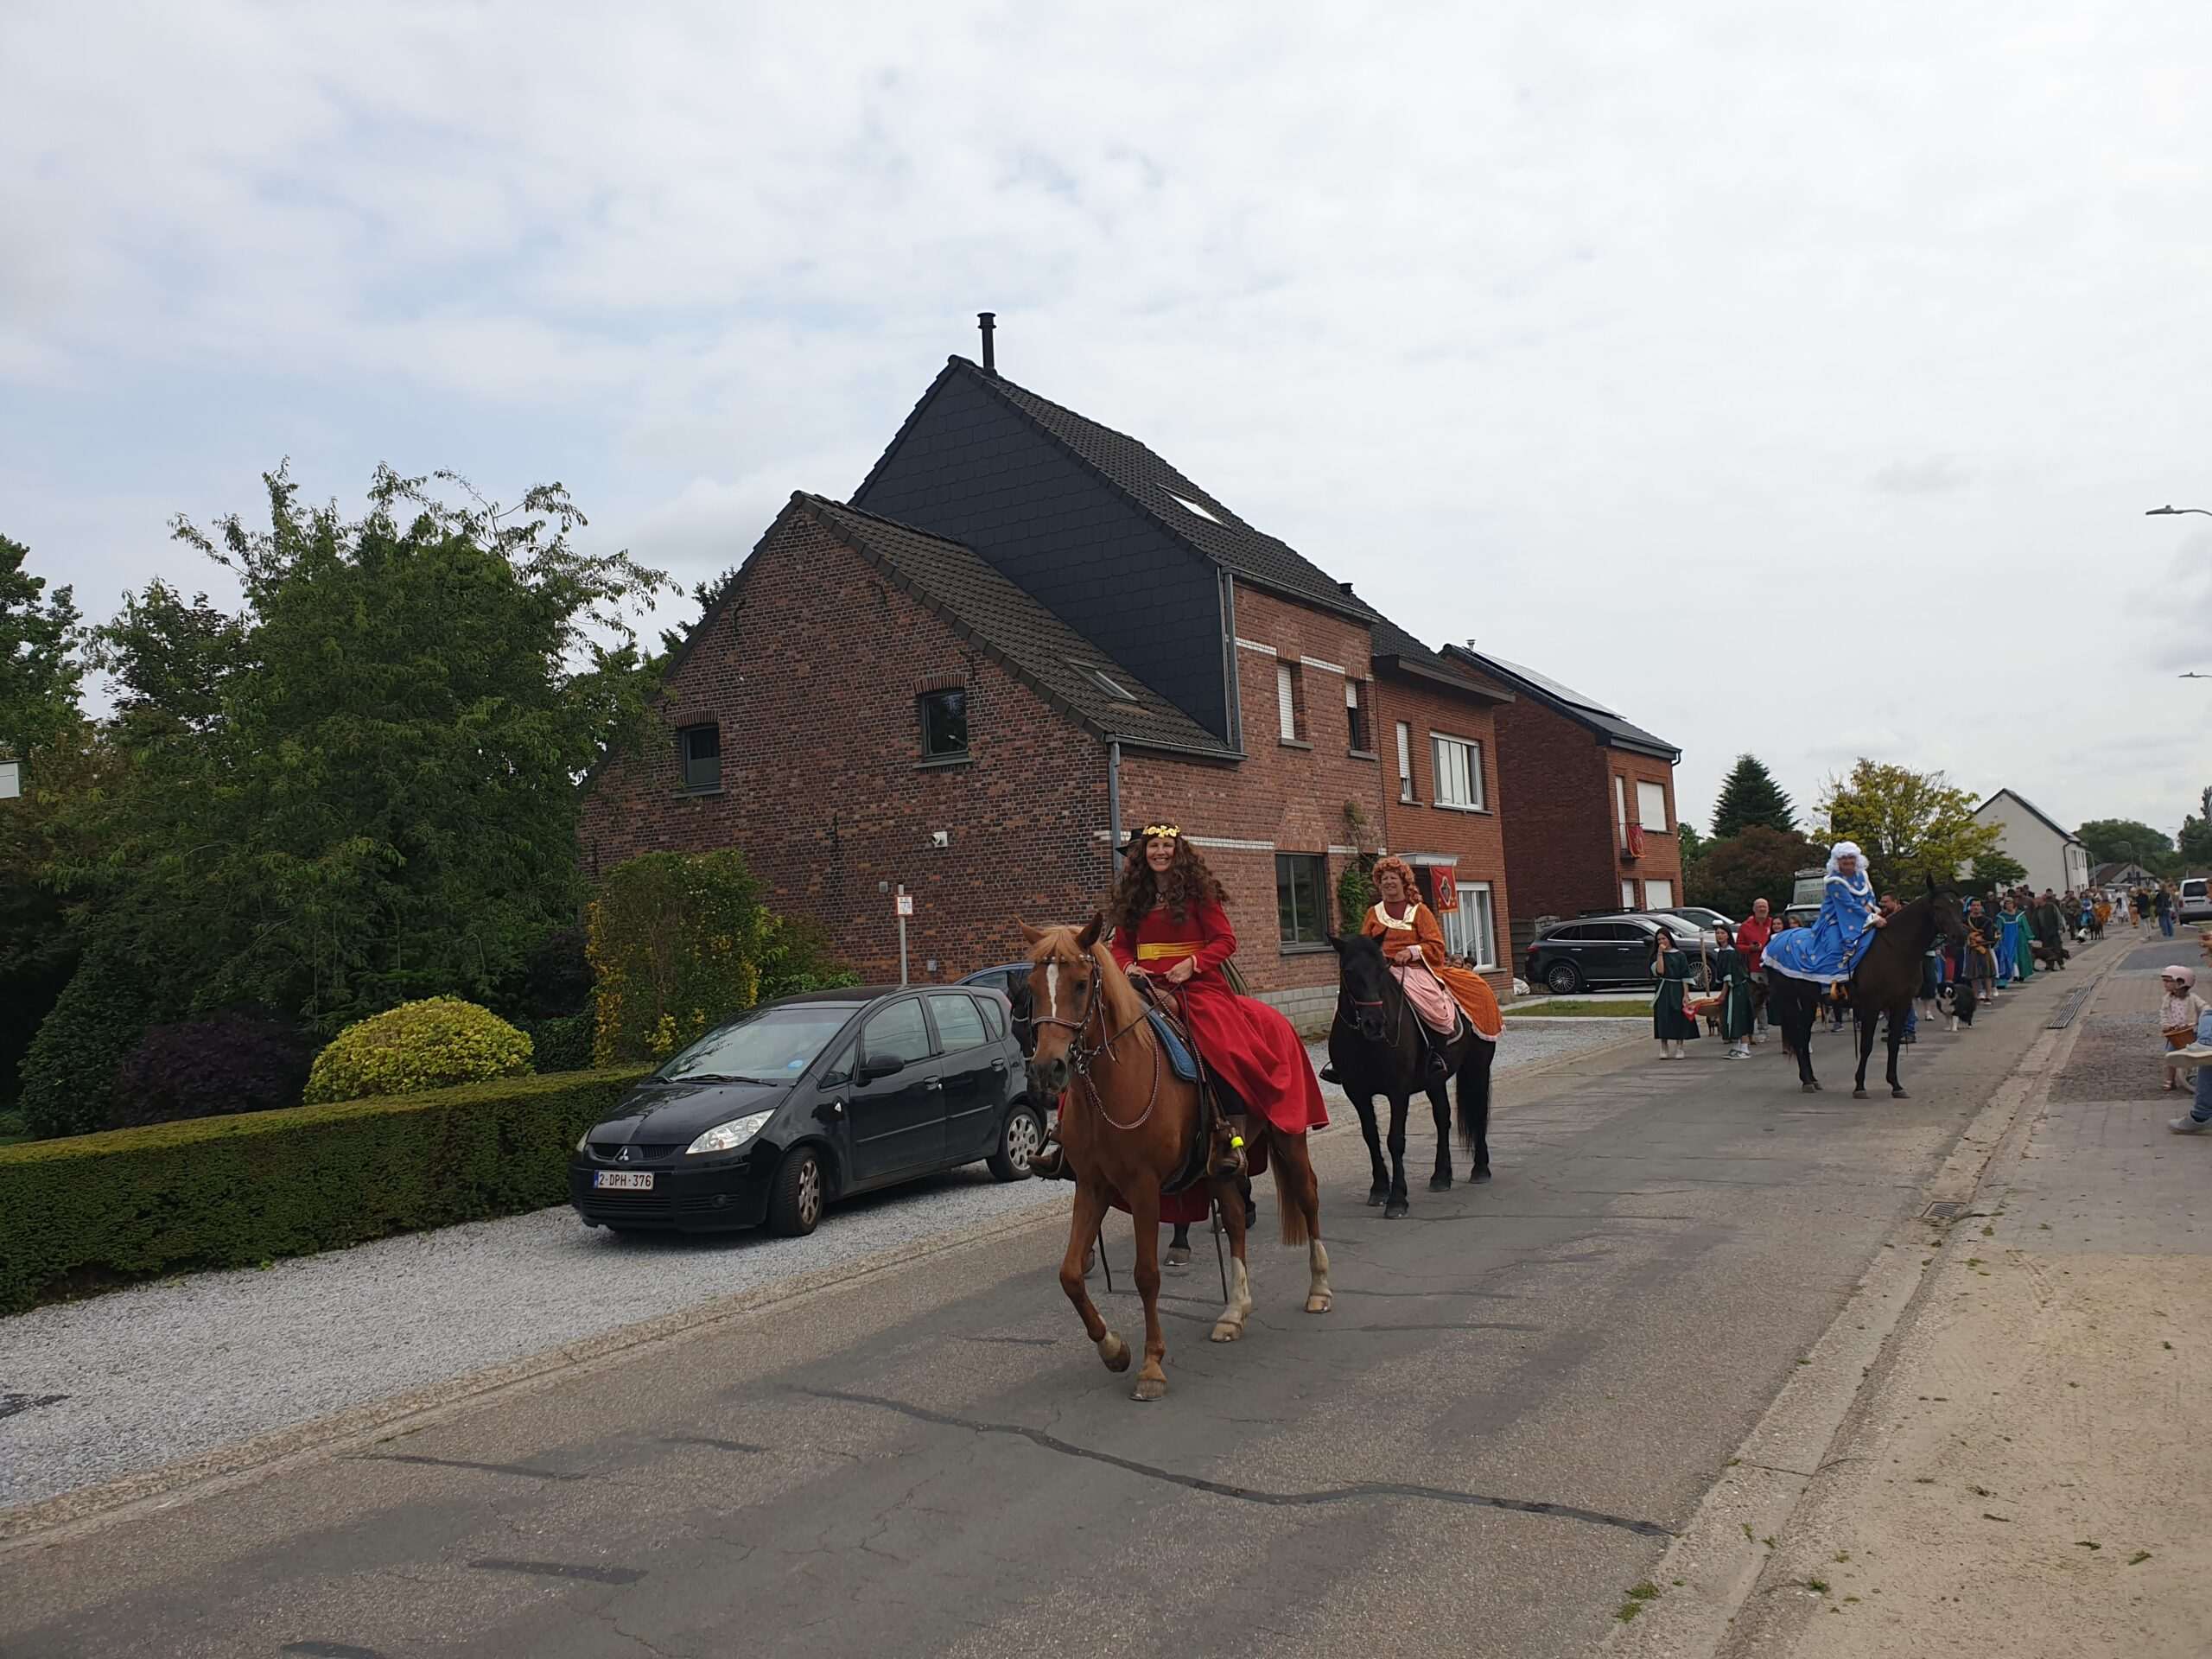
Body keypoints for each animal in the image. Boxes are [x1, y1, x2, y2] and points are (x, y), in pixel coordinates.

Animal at [1019, 918, 1331, 1402]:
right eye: (1032, 988)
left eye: (1081, 983)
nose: (1045, 1069)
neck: (1116, 1080)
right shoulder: (1092, 1185)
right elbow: (1070, 1273)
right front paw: (1114, 1350)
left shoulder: (1144, 1187)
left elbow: (1146, 1275)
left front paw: (1151, 1366)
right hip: (1218, 1169)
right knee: (1236, 1218)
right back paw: (1234, 1311)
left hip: (1290, 1138)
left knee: (1308, 1197)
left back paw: (1319, 1289)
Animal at [1325, 931, 1492, 1218]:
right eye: (1348, 972)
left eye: (1382, 969)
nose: (1374, 1023)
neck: (1366, 1043)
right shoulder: (1357, 1093)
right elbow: (1371, 1137)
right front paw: (1379, 1189)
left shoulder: (1398, 1091)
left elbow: (1395, 1140)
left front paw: (1397, 1199)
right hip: (1435, 1080)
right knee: (1443, 1119)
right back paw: (1441, 1176)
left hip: (1478, 1066)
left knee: (1478, 1112)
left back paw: (1480, 1169)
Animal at [1765, 882, 1969, 1098]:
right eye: (1938, 907)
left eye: (1959, 905)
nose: (1961, 936)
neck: (1896, 949)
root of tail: (1776, 939)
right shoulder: (1872, 1005)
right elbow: (1866, 1045)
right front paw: (1860, 1086)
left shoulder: (1901, 1003)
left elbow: (1894, 1043)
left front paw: (1896, 1085)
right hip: (1789, 999)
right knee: (1798, 1037)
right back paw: (1806, 1081)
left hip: (1808, 1001)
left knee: (1804, 1036)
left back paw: (1812, 1079)